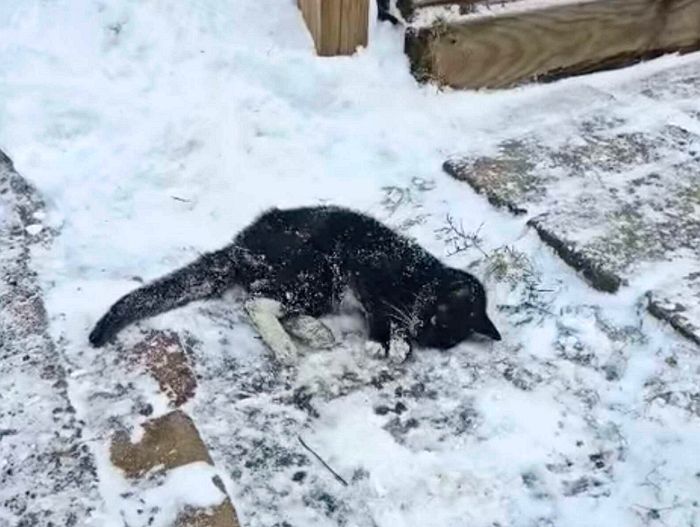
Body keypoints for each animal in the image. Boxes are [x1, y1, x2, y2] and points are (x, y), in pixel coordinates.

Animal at [90, 208, 500, 352]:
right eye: (437, 317)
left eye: (443, 338)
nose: (422, 333)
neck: (420, 276)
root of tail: (241, 242)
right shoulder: (369, 270)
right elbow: (383, 313)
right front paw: (384, 343)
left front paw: (400, 343)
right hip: (317, 269)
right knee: (255, 301)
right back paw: (286, 345)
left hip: (313, 284)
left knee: (267, 299)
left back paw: (314, 333)